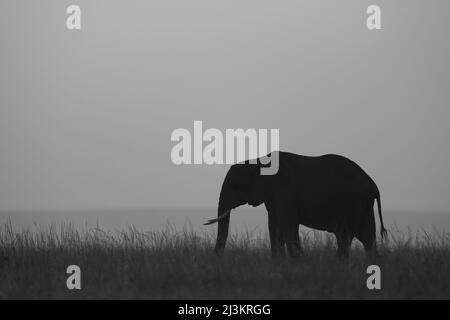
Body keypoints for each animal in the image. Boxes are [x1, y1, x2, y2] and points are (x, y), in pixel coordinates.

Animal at [205, 151, 386, 258]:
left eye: (235, 186)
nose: (217, 258)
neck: (258, 162)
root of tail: (374, 186)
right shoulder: (273, 196)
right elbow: (274, 225)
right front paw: (278, 261)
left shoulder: (285, 191)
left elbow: (288, 224)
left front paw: (298, 260)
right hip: (362, 205)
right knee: (365, 237)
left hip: (354, 203)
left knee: (347, 235)